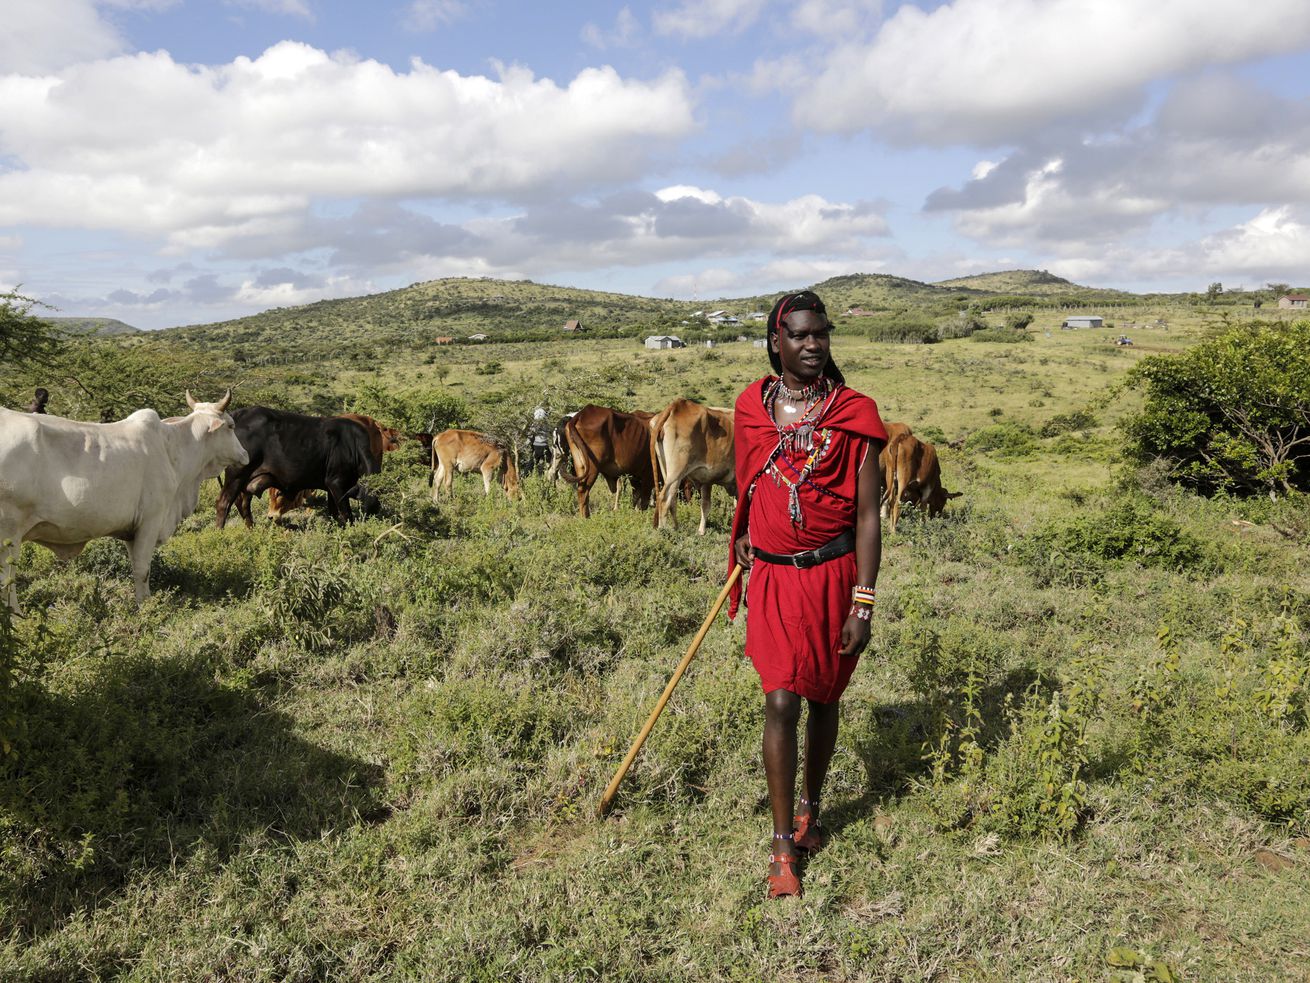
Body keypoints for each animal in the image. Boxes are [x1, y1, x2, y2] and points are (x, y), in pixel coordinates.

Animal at [0, 390, 247, 608]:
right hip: (9, 533)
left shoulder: (132, 530)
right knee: (7, 580)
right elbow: (143, 569)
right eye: (231, 426)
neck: (172, 449)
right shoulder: (150, 521)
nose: (245, 454)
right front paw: (145, 607)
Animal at [217, 408, 382, 532]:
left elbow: (334, 512)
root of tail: (238, 415)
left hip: (248, 481)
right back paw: (220, 533)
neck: (353, 445)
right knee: (224, 503)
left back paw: (252, 529)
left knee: (243, 503)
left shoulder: (331, 488)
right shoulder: (336, 484)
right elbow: (346, 514)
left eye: (375, 510)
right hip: (237, 474)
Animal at [652, 398, 738, 534]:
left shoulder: (707, 480)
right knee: (664, 498)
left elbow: (706, 505)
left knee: (672, 498)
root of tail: (677, 405)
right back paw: (663, 530)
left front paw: (701, 532)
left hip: (666, 469)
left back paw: (676, 527)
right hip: (676, 470)